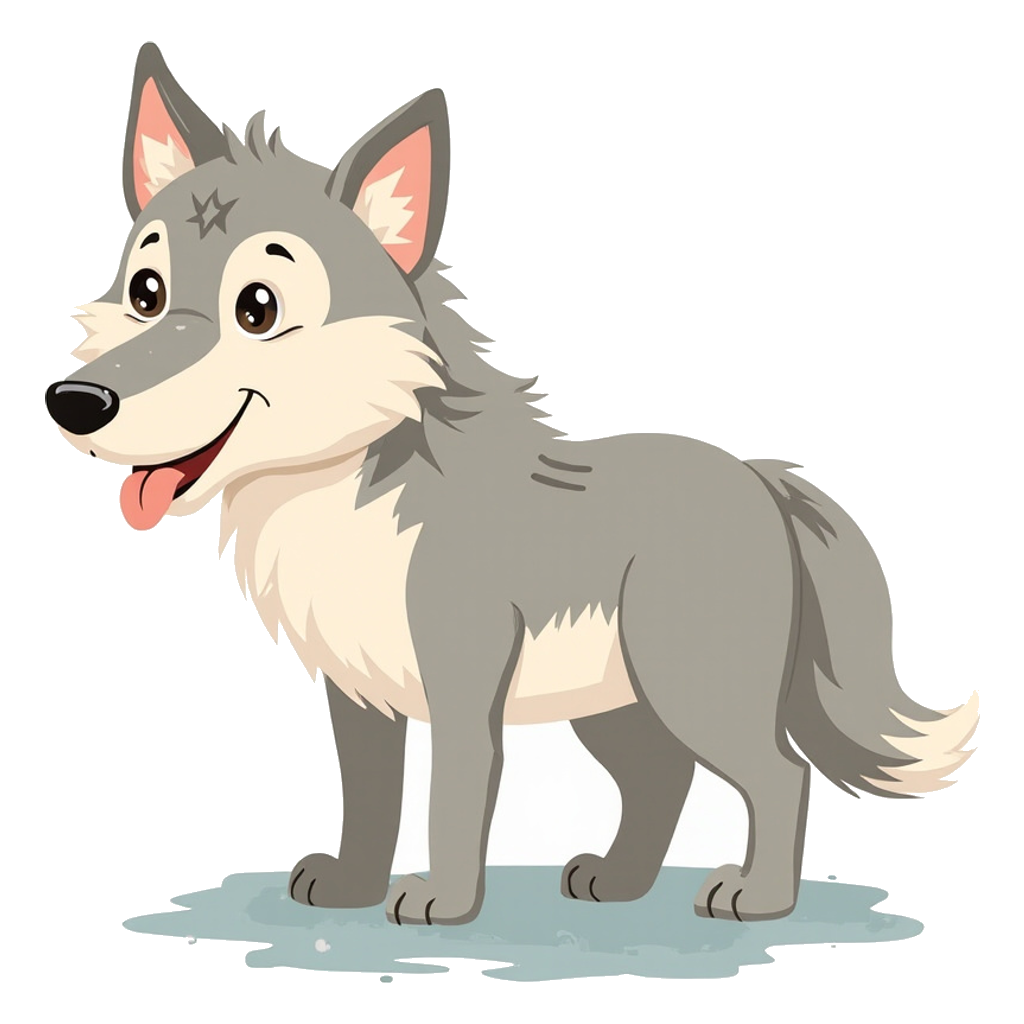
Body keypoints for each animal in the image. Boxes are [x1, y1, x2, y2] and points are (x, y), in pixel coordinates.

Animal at [46, 43, 977, 926]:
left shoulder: (462, 688)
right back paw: (618, 881)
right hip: (618, 704)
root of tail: (758, 478)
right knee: (663, 778)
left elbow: (451, 800)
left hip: (692, 686)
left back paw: (757, 897)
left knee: (781, 774)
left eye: (258, 308)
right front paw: (351, 888)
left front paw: (442, 905)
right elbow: (370, 797)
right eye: (146, 291)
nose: (75, 403)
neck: (345, 501)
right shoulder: (360, 692)